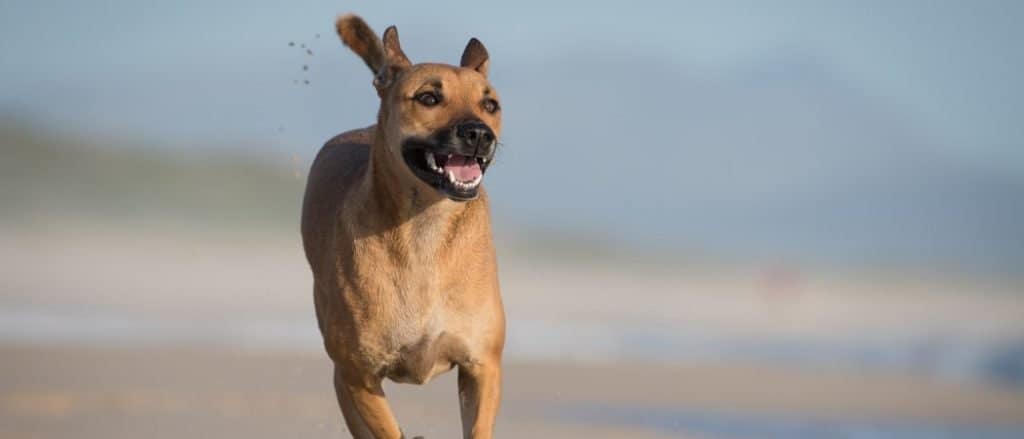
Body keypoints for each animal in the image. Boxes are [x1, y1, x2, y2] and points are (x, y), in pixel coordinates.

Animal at [299, 13, 507, 437]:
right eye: (428, 98)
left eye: (490, 103)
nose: (479, 133)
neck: (426, 226)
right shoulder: (359, 378)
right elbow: (388, 428)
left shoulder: (482, 367)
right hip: (342, 378)